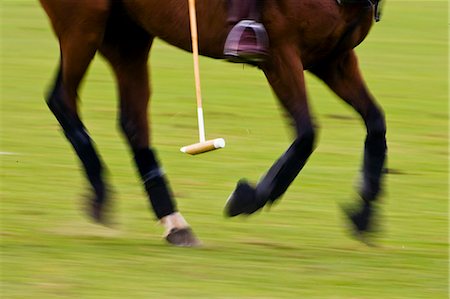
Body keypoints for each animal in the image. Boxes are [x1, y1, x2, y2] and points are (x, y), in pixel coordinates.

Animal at [39, 0, 386, 247]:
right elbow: (306, 134)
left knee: (132, 121)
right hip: (85, 21)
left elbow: (376, 121)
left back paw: (175, 224)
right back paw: (99, 193)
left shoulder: (334, 59)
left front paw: (364, 213)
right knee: (61, 98)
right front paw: (247, 198)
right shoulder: (281, 53)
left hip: (128, 33)